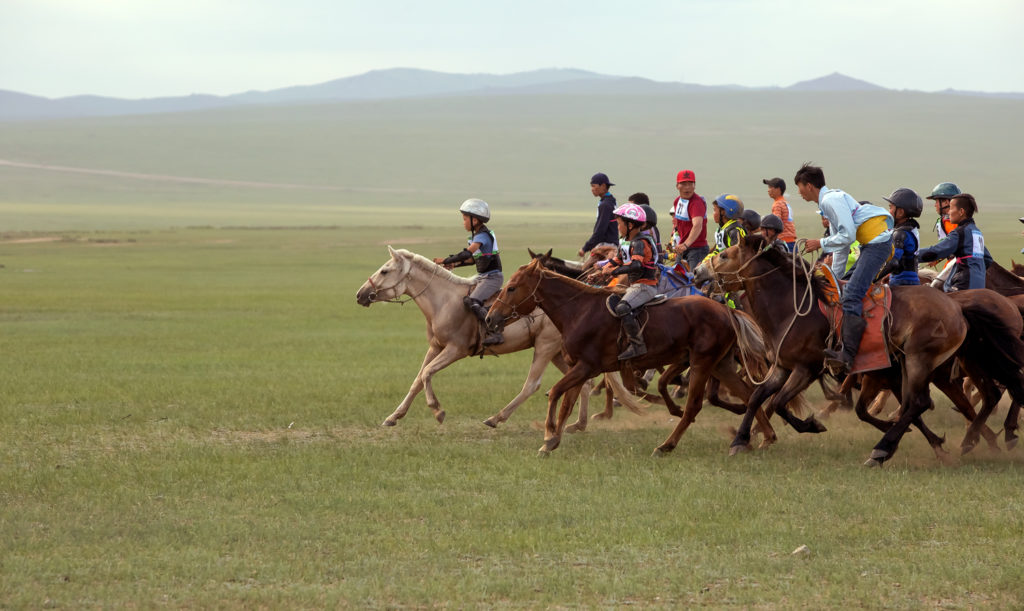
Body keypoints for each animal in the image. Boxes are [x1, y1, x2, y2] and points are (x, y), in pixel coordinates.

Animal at [354, 246, 638, 429]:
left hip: (545, 347)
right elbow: (417, 379)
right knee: (584, 383)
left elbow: (426, 374)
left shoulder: (455, 350)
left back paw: (496, 418)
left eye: (385, 271)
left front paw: (438, 411)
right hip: (559, 353)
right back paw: (577, 424)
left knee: (532, 385)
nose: (360, 294)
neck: (443, 300)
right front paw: (394, 417)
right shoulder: (436, 347)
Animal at [483, 258, 778, 458]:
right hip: (720, 365)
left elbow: (555, 393)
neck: (578, 311)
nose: (489, 318)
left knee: (694, 406)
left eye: (512, 288)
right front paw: (553, 439)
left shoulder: (585, 367)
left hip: (702, 363)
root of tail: (726, 310)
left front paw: (547, 436)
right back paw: (762, 438)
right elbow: (566, 402)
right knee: (747, 393)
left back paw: (666, 445)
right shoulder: (582, 368)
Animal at [696, 235, 974, 464]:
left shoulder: (806, 369)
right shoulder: (783, 367)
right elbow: (757, 398)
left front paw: (811, 425)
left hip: (919, 359)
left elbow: (779, 402)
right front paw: (740, 440)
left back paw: (881, 450)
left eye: (724, 255)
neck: (790, 309)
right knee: (914, 404)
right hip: (905, 364)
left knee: (918, 403)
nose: (698, 271)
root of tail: (955, 309)